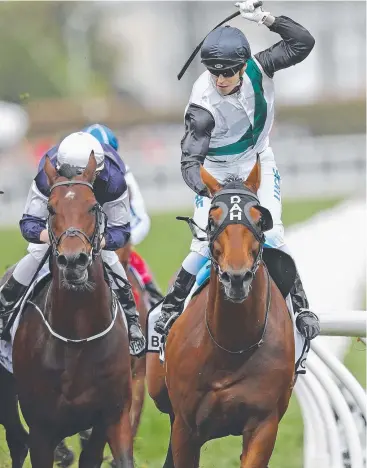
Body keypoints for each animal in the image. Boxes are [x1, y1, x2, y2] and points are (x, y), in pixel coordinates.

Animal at [148, 159, 294, 466]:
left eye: (260, 220)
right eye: (212, 221)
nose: (235, 277)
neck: (232, 346)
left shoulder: (264, 425)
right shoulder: (186, 428)